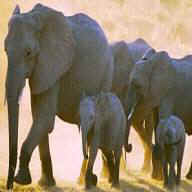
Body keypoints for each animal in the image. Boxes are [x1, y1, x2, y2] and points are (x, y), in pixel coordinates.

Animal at [4, 3, 114, 190]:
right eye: (5, 50)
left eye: (28, 52)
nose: (9, 185)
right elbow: (39, 118)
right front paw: (45, 184)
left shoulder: (55, 65)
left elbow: (45, 118)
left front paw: (21, 180)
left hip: (106, 74)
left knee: (94, 127)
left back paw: (86, 181)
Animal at [124, 48, 192, 180]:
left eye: (137, 85)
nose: (130, 146)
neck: (152, 63)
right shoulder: (157, 94)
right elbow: (157, 124)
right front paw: (156, 176)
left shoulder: (168, 93)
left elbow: (163, 120)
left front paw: (159, 177)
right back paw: (188, 177)